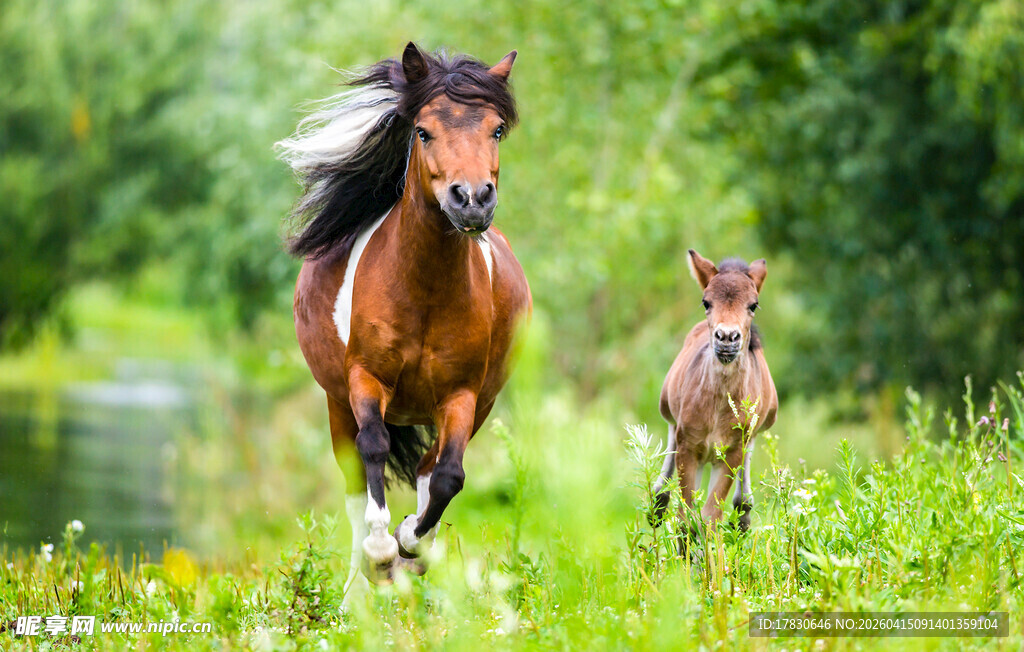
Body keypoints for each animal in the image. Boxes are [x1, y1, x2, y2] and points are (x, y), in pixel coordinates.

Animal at [277, 42, 531, 589]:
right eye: (423, 131)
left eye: (497, 129)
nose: (472, 198)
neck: (425, 291)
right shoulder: (364, 379)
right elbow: (373, 447)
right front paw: (381, 547)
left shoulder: (461, 395)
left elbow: (448, 477)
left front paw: (410, 539)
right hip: (335, 402)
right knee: (356, 481)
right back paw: (361, 585)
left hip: (478, 405)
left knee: (430, 471)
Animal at [652, 249, 777, 536]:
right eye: (706, 302)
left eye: (753, 305)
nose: (727, 337)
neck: (719, 407)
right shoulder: (689, 446)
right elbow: (687, 517)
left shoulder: (731, 453)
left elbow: (710, 517)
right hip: (669, 411)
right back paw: (657, 503)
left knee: (742, 497)